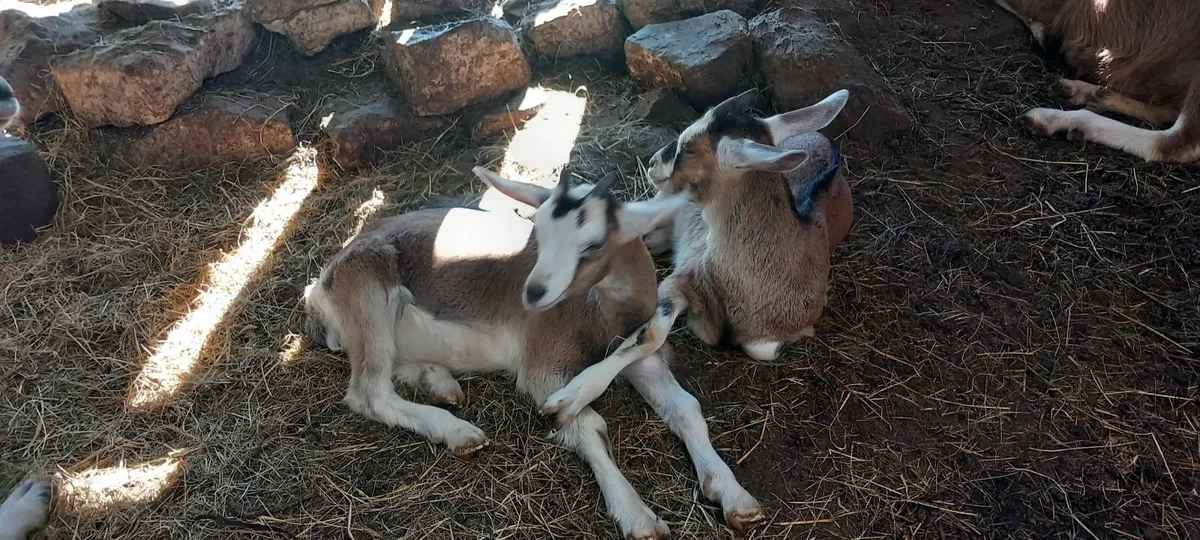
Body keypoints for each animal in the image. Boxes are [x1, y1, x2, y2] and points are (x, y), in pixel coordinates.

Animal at [303, 167, 763, 538]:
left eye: (594, 244)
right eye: (537, 233)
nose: (535, 293)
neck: (600, 314)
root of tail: (318, 290)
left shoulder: (639, 351)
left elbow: (684, 406)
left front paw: (736, 498)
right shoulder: (543, 364)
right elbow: (587, 424)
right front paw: (638, 517)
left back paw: (442, 384)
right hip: (368, 293)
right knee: (369, 390)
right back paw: (458, 432)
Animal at [538, 89, 852, 433]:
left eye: (688, 148)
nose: (653, 163)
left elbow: (762, 349)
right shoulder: (680, 281)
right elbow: (648, 335)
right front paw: (566, 403)